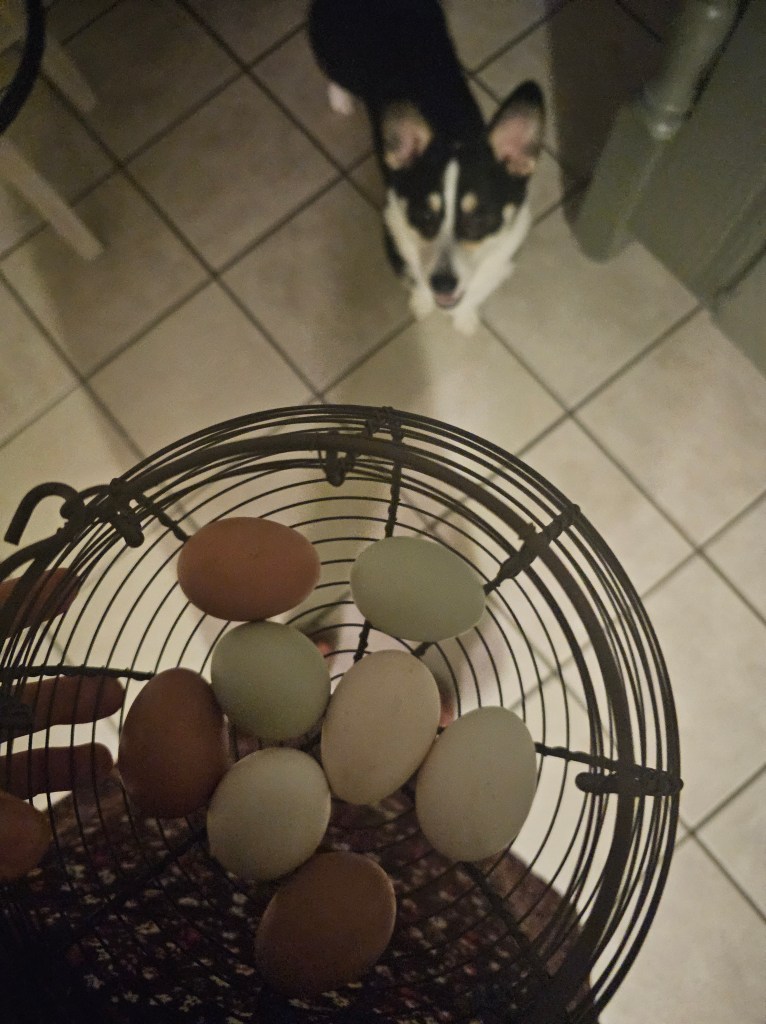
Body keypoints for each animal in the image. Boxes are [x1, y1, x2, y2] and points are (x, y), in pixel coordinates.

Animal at [308, 0, 545, 335]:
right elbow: (417, 280)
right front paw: (421, 304)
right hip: (338, 53)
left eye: (480, 218)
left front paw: (465, 318)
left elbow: (476, 292)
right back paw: (341, 100)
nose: (443, 284)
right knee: (334, 73)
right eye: (424, 215)